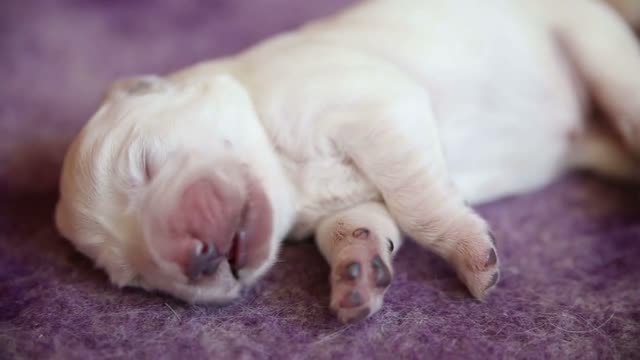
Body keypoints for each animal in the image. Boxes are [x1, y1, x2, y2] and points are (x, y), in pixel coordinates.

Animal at [53, 0, 640, 324]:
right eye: (137, 277)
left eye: (145, 164)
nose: (194, 259)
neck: (293, 183)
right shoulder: (351, 198)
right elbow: (357, 225)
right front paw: (357, 271)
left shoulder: (374, 105)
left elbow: (417, 201)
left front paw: (470, 253)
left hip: (593, 43)